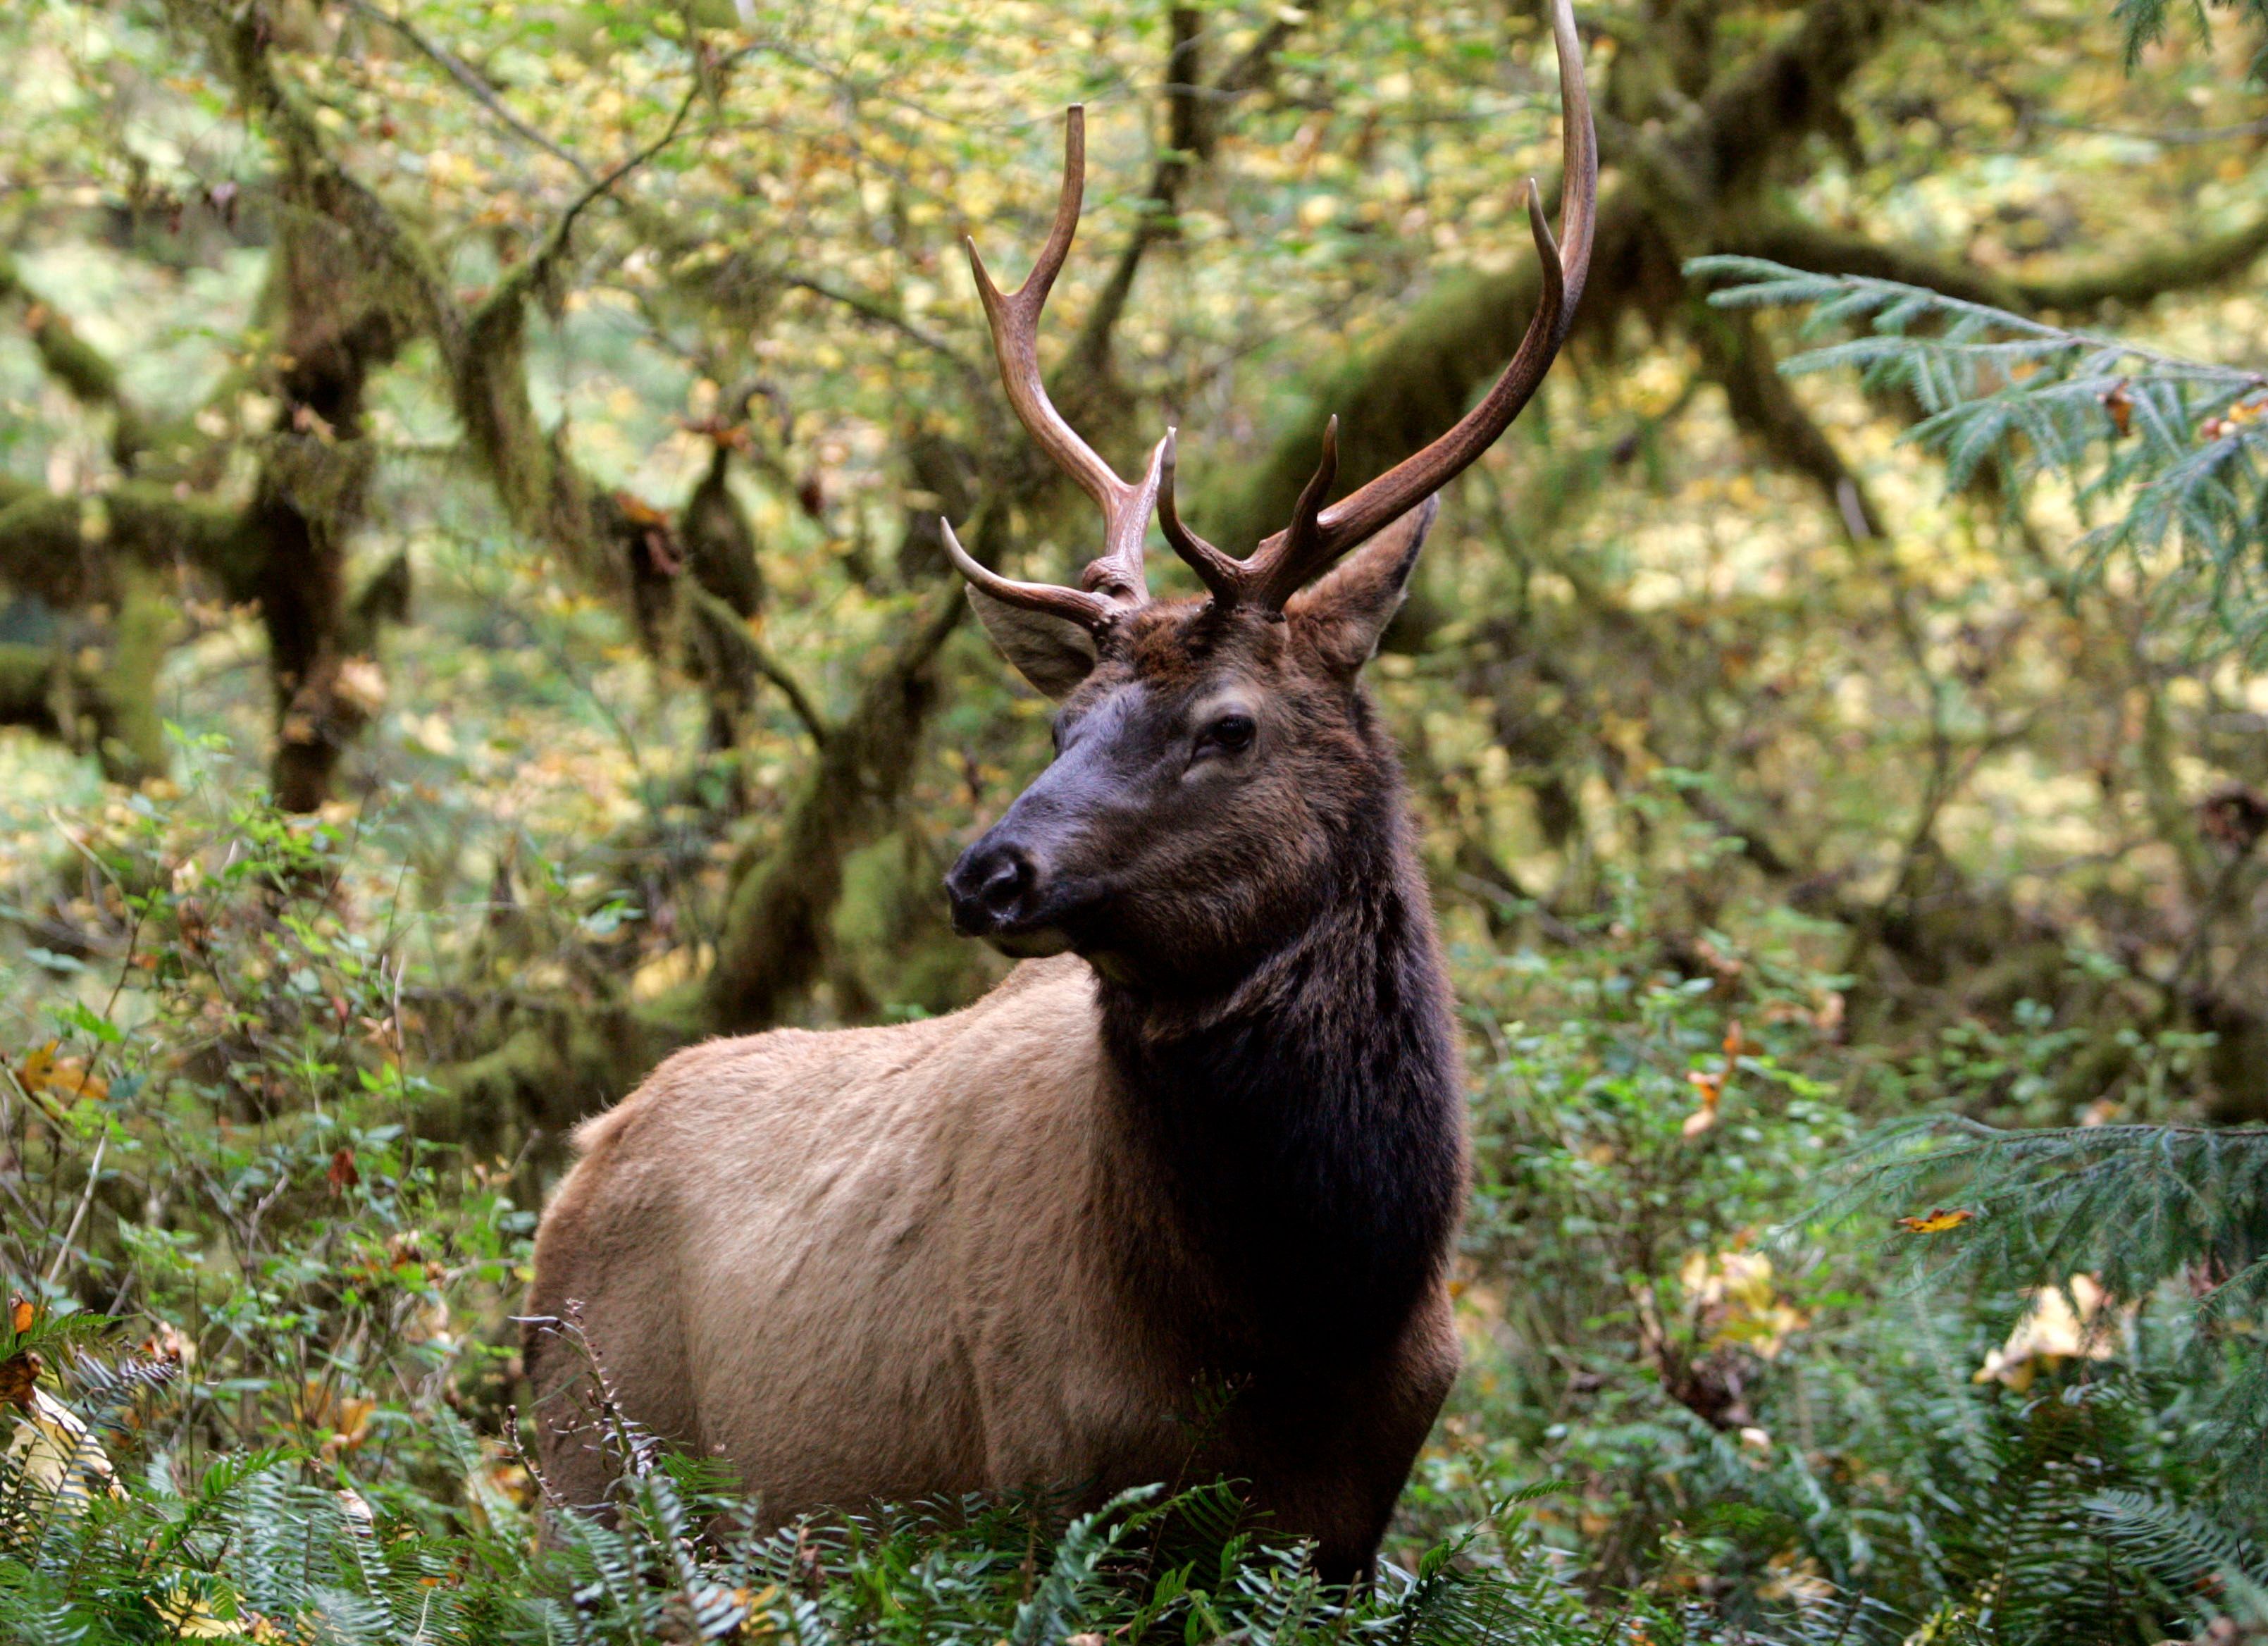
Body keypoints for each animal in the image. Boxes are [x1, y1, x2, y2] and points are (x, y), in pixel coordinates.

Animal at [526, 0, 1597, 1596]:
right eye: (1060, 716)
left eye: (1228, 724)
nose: (987, 874)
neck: (1299, 1332)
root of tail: (578, 1160)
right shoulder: (1044, 1489)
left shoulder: (1349, 1532)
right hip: (587, 1480)